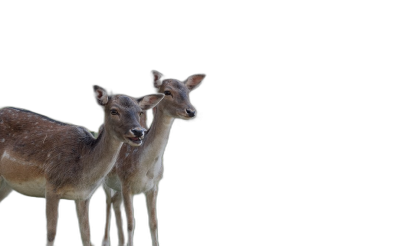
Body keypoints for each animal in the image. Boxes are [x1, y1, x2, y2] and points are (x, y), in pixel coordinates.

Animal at [0, 85, 166, 246]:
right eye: (114, 110)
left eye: (140, 112)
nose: (138, 131)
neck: (82, 173)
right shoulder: (51, 185)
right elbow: (51, 234)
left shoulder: (83, 195)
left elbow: (86, 235)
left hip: (6, 183)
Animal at [102, 70, 206, 246]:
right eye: (167, 92)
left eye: (188, 92)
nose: (191, 111)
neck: (144, 167)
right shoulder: (126, 183)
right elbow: (131, 222)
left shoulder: (153, 186)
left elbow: (154, 222)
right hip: (106, 180)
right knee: (108, 204)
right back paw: (105, 241)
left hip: (116, 187)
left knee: (115, 204)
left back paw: (120, 241)